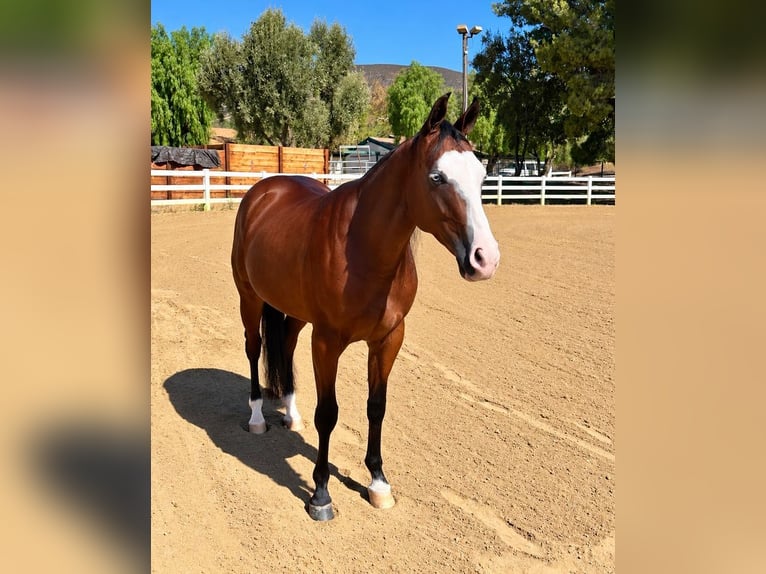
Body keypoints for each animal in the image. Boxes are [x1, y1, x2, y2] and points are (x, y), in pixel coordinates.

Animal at [231, 93, 500, 521]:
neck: (362, 250)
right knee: (254, 349)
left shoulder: (388, 339)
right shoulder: (327, 342)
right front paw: (320, 494)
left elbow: (377, 407)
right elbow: (329, 413)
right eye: (437, 177)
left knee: (285, 345)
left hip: (296, 314)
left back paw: (291, 414)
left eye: (481, 176)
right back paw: (258, 417)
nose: (485, 259)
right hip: (250, 298)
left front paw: (378, 483)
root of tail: (264, 191)